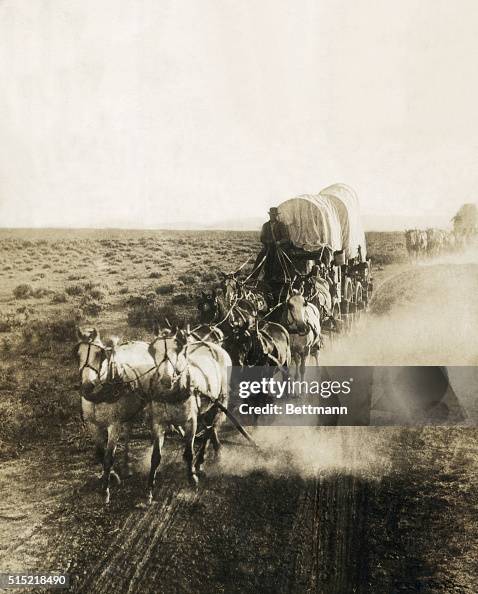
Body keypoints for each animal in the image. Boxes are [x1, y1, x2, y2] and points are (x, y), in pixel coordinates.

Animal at [74, 326, 155, 502]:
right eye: (78, 354)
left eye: (99, 354)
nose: (87, 386)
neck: (99, 396)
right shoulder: (93, 425)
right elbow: (100, 452)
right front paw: (110, 475)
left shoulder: (114, 425)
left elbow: (108, 456)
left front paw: (106, 490)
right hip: (130, 410)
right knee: (128, 432)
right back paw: (125, 466)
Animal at [148, 326, 232, 502]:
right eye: (153, 350)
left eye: (177, 350)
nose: (166, 379)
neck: (172, 394)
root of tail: (212, 345)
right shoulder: (158, 423)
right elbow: (156, 456)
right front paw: (150, 488)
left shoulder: (190, 422)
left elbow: (188, 453)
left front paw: (192, 478)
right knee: (210, 428)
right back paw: (215, 451)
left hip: (218, 401)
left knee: (209, 430)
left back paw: (200, 460)